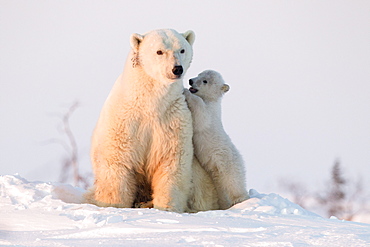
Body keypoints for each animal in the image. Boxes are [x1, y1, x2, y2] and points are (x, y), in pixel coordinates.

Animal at [85, 28, 218, 212]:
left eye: (182, 49)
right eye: (159, 51)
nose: (177, 69)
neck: (149, 103)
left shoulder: (172, 120)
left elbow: (171, 162)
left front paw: (166, 208)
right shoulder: (124, 121)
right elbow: (116, 162)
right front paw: (113, 205)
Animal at [184, 70, 250, 210]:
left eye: (205, 81)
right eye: (199, 74)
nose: (191, 81)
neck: (212, 100)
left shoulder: (209, 113)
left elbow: (200, 114)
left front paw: (185, 91)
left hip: (228, 162)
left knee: (234, 182)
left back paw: (240, 200)